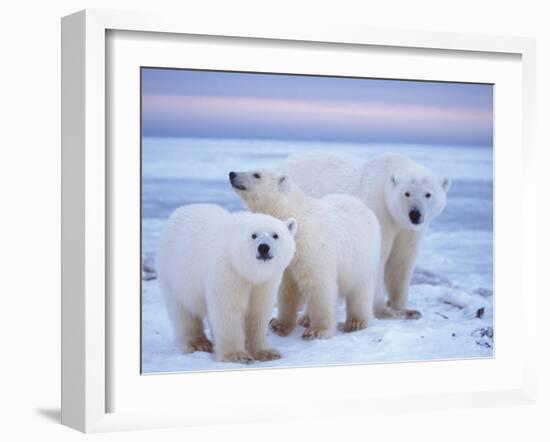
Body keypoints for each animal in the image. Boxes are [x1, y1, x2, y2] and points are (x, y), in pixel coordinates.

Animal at [157, 204, 298, 362]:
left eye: (275, 235)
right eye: (253, 235)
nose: (263, 247)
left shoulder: (265, 282)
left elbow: (258, 311)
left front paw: (266, 352)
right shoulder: (227, 271)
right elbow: (227, 309)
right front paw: (237, 355)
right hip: (174, 274)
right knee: (183, 311)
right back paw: (198, 343)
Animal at [229, 171, 380, 340]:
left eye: (256, 174)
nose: (232, 174)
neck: (294, 215)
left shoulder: (312, 246)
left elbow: (319, 285)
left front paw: (318, 331)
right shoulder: (285, 256)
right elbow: (287, 289)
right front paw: (279, 324)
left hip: (363, 254)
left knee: (361, 288)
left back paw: (356, 323)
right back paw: (305, 318)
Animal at [286, 154, 450, 320]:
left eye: (428, 194)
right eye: (407, 193)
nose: (415, 214)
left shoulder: (408, 230)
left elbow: (401, 261)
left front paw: (406, 310)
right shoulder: (379, 212)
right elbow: (377, 258)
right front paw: (384, 311)